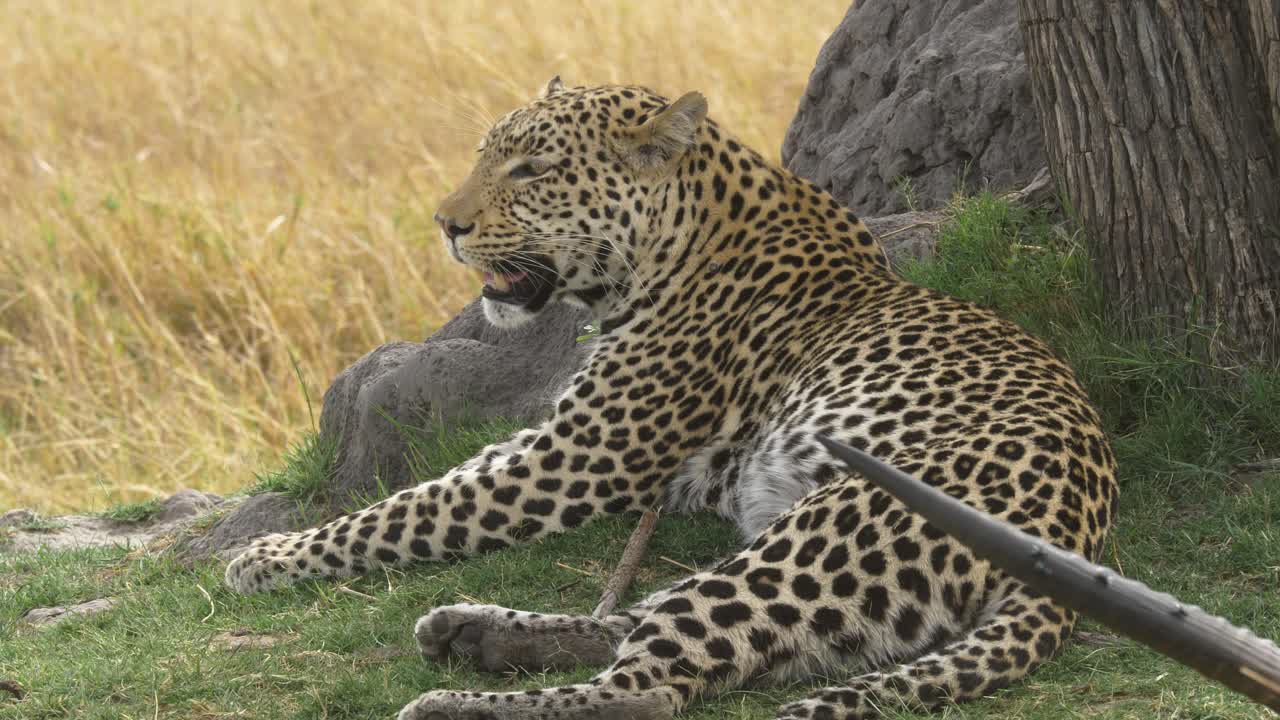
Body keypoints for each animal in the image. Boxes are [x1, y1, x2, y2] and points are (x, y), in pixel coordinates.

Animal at [225, 77, 1118, 720]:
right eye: (486, 157)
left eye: (532, 171)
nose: (446, 225)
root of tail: (1072, 540)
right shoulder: (563, 439)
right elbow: (431, 489)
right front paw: (279, 548)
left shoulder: (580, 457)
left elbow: (411, 510)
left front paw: (267, 557)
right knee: (658, 625)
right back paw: (475, 632)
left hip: (836, 523)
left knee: (650, 687)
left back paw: (456, 703)